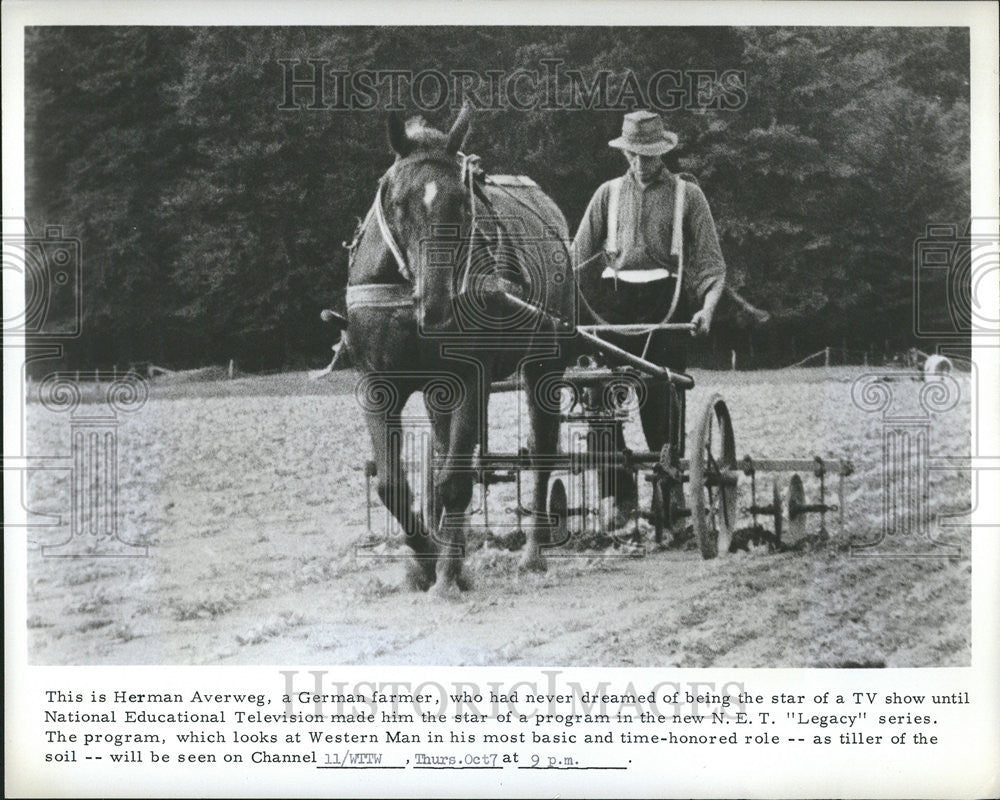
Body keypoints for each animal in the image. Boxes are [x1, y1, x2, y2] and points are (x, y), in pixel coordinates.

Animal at [348, 106, 576, 592]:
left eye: (461, 204)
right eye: (399, 202)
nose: (436, 305)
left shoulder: (471, 376)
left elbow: (454, 480)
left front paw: (448, 571)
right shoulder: (378, 384)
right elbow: (394, 483)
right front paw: (424, 559)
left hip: (546, 363)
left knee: (542, 450)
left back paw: (533, 552)